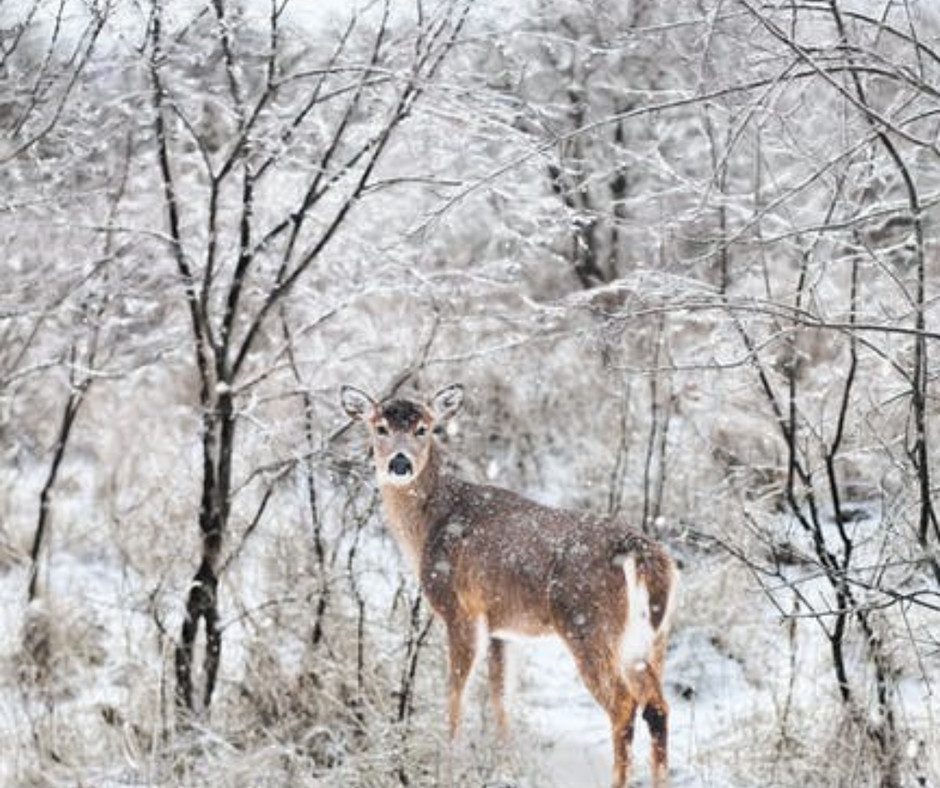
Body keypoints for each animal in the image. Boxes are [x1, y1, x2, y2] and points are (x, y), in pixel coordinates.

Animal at [340, 383, 679, 788]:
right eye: (380, 427)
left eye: (424, 428)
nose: (400, 463)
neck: (429, 527)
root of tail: (642, 555)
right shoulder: (504, 628)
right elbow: (502, 699)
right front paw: (505, 766)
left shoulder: (461, 610)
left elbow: (457, 696)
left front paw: (449, 767)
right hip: (649, 640)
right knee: (657, 706)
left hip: (588, 625)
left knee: (624, 705)